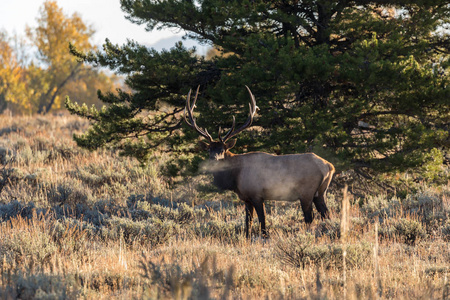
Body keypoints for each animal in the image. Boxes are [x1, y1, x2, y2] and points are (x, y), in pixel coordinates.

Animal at [183, 85, 334, 238]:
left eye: (222, 150)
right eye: (209, 149)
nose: (214, 159)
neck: (235, 177)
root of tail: (329, 166)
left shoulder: (257, 195)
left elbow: (262, 219)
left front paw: (265, 236)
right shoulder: (246, 199)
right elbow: (247, 221)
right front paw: (247, 237)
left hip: (306, 193)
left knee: (310, 217)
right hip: (320, 192)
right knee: (326, 214)